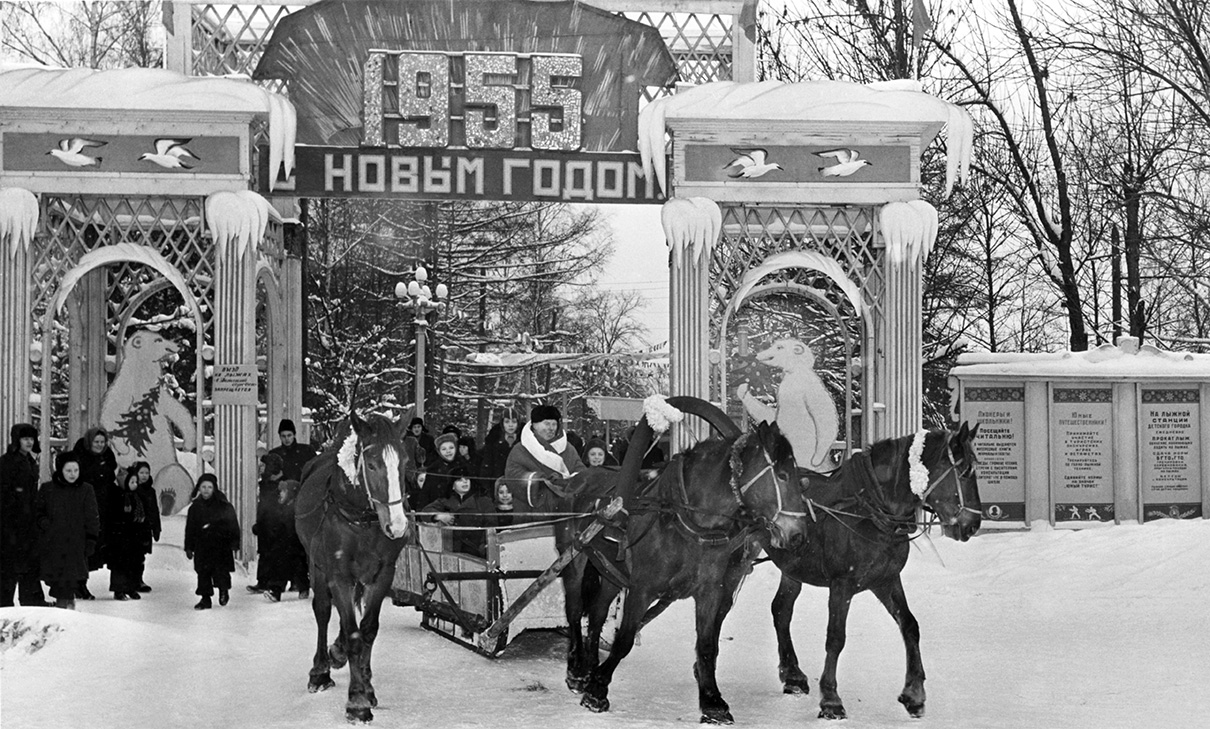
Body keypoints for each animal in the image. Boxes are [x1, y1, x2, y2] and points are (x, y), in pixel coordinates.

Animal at [295, 411, 413, 716]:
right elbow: (353, 633)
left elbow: (368, 629)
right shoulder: (338, 574)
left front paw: (367, 688)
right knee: (323, 610)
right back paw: (320, 671)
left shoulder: (383, 574)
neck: (362, 522)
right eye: (371, 464)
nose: (397, 526)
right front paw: (357, 700)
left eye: (404, 462)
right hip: (317, 565)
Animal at [551, 397, 813, 721]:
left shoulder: (711, 590)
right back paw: (576, 669)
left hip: (611, 571)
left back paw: (588, 665)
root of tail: (578, 478)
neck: (686, 519)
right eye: (782, 475)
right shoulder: (642, 588)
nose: (798, 535)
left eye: (800, 479)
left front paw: (712, 700)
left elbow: (707, 643)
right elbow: (624, 639)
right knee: (575, 610)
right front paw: (598, 690)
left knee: (598, 613)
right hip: (573, 558)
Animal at [764, 418, 982, 716]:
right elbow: (836, 637)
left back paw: (792, 676)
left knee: (781, 610)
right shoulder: (841, 584)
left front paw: (914, 693)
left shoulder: (886, 580)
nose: (974, 524)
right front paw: (831, 699)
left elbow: (910, 626)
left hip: (792, 567)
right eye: (964, 471)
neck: (868, 509)